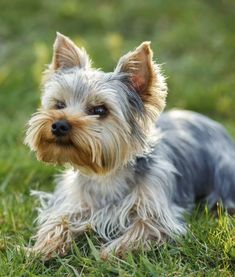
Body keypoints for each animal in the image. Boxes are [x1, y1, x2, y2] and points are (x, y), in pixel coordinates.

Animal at [24, 32, 234, 258]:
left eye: (100, 110)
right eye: (59, 104)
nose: (59, 125)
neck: (105, 175)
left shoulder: (158, 215)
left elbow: (143, 229)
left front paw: (105, 254)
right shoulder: (72, 202)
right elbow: (58, 221)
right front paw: (39, 249)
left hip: (224, 173)